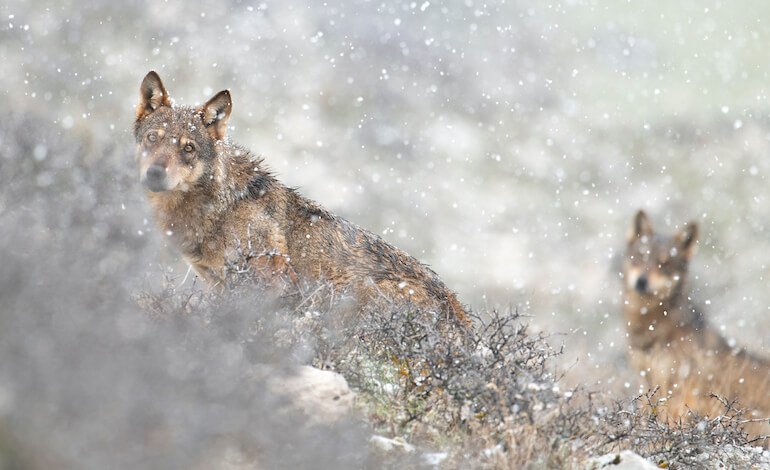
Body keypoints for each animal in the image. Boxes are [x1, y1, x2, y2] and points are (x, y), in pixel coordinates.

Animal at [134, 71, 470, 330]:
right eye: (153, 138)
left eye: (188, 148)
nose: (154, 173)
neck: (220, 206)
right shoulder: (216, 283)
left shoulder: (270, 279)